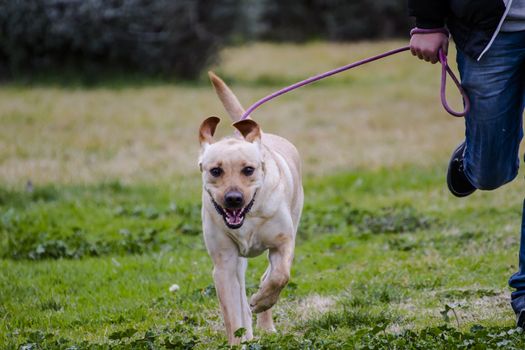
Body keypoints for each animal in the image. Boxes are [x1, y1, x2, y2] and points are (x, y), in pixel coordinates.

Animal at [198, 72, 302, 344]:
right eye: (215, 171)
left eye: (248, 169)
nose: (233, 199)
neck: (249, 217)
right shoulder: (224, 263)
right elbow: (232, 312)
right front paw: (237, 341)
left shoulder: (283, 243)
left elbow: (280, 276)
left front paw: (262, 300)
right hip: (237, 264)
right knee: (241, 295)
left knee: (269, 275)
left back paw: (266, 323)